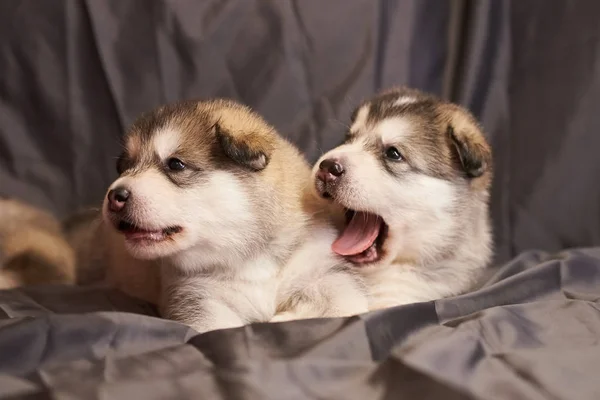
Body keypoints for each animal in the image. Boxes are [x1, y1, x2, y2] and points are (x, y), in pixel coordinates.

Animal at [96, 98, 368, 332]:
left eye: (175, 164)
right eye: (126, 166)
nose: (115, 196)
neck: (251, 262)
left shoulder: (323, 271)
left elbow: (345, 303)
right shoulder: (198, 298)